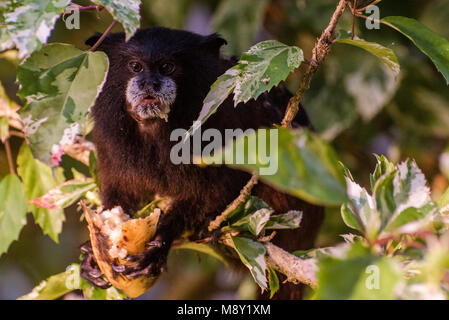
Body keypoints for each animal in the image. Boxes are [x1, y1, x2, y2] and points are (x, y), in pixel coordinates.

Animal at [82, 27, 324, 300]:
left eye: (168, 67)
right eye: (135, 67)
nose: (149, 84)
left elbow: (216, 191)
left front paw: (163, 239)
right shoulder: (109, 142)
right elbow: (120, 195)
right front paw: (94, 249)